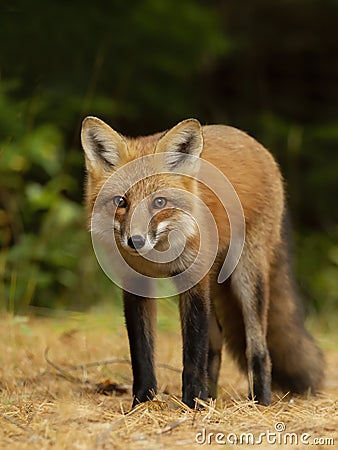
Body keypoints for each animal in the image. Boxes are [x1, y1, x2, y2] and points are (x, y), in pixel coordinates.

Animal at [80, 116, 324, 408]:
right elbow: (142, 354)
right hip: (215, 285)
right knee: (216, 341)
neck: (159, 258)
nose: (135, 241)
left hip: (246, 278)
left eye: (159, 202)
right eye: (121, 202)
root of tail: (253, 142)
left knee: (258, 348)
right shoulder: (136, 285)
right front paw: (142, 403)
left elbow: (193, 354)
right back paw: (212, 398)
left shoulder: (194, 280)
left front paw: (192, 402)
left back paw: (259, 402)